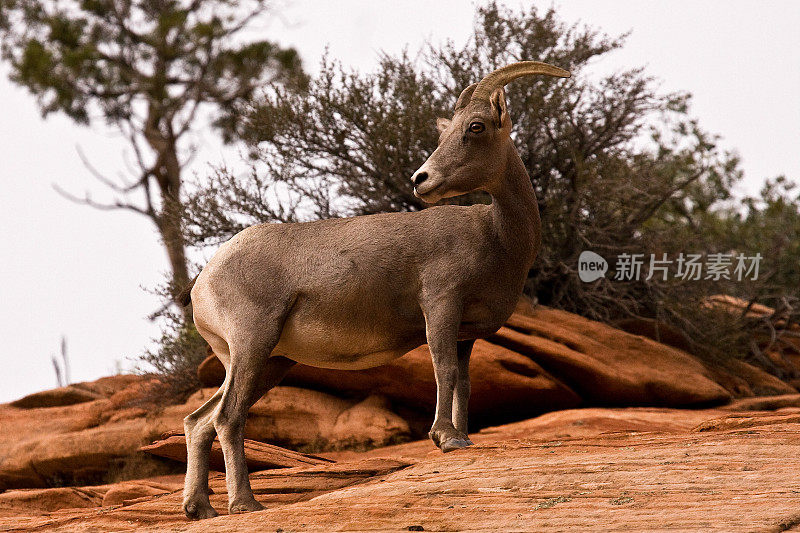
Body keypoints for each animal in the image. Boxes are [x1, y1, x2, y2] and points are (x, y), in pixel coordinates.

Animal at [181, 60, 568, 516]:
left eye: (475, 126)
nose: (421, 179)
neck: (495, 236)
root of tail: (203, 282)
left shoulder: (466, 334)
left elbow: (464, 382)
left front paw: (462, 437)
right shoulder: (441, 304)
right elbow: (443, 369)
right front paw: (446, 439)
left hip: (269, 362)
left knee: (199, 421)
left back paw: (200, 509)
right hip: (253, 345)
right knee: (227, 417)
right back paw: (246, 504)